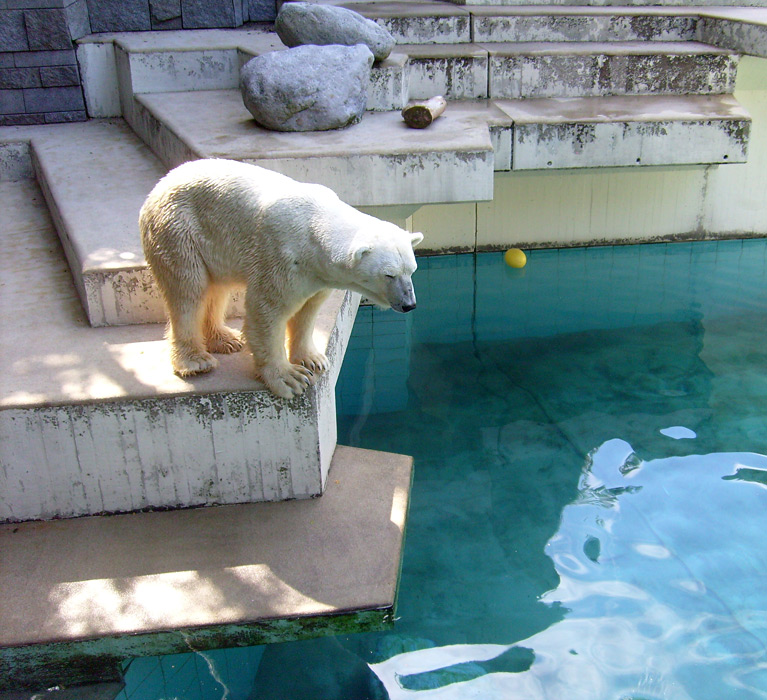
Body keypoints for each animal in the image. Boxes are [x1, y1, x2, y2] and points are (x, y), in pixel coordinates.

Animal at [141, 159, 424, 400]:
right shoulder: (282, 257)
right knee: (189, 290)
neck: (314, 228)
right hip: (178, 230)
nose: (409, 304)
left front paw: (312, 359)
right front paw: (289, 378)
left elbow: (308, 310)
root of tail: (161, 183)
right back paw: (195, 360)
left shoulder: (317, 275)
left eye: (411, 269)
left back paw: (226, 339)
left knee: (217, 288)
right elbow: (267, 311)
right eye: (388, 274)